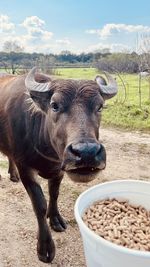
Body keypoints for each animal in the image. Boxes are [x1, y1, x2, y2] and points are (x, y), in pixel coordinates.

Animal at [0, 67, 118, 264]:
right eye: (55, 105)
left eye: (100, 106)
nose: (87, 152)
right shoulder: (25, 169)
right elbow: (39, 205)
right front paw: (45, 247)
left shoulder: (58, 169)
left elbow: (54, 194)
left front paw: (55, 218)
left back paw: (12, 175)